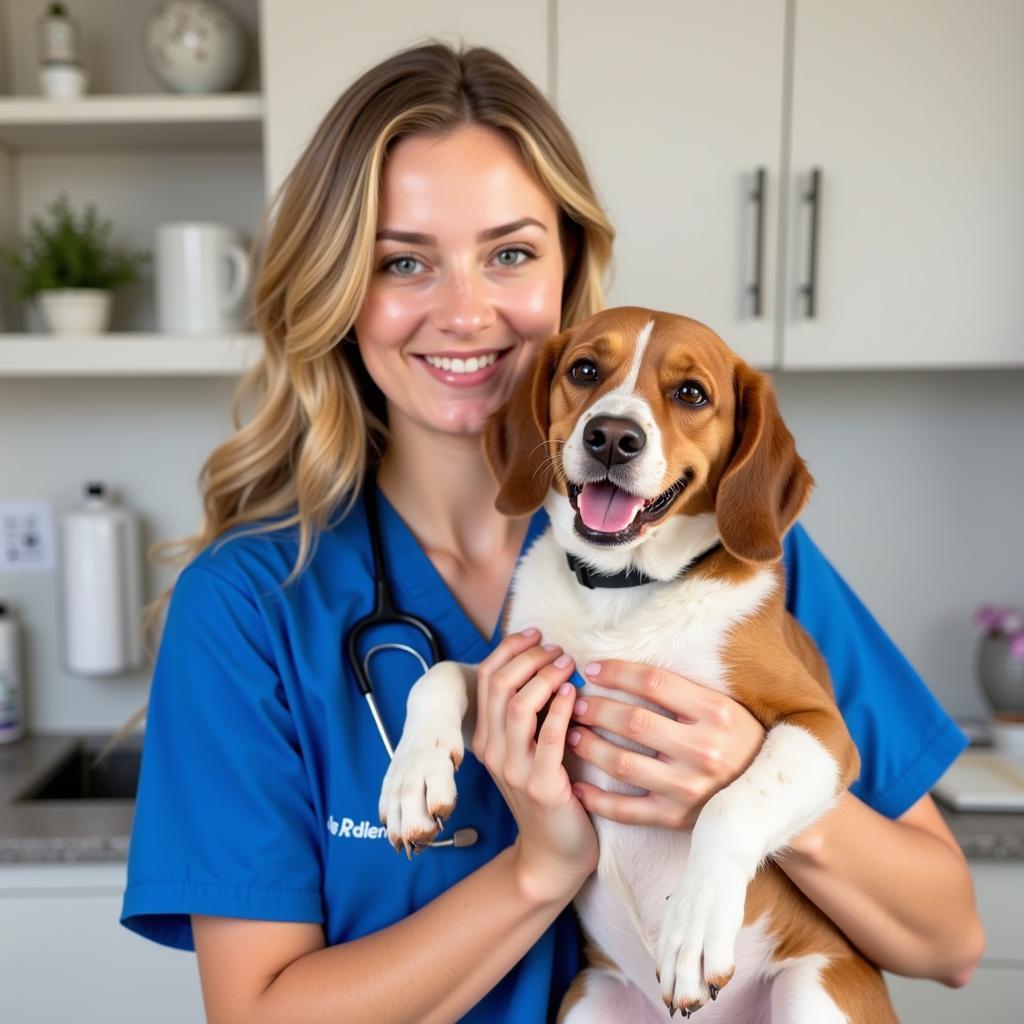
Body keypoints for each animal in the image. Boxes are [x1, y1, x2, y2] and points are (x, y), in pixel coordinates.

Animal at [380, 307, 901, 1019]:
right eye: (584, 370)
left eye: (691, 393)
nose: (611, 438)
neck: (623, 590)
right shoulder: (512, 666)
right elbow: (434, 678)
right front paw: (412, 778)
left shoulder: (822, 729)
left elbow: (732, 804)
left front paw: (696, 928)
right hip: (590, 998)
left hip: (814, 985)